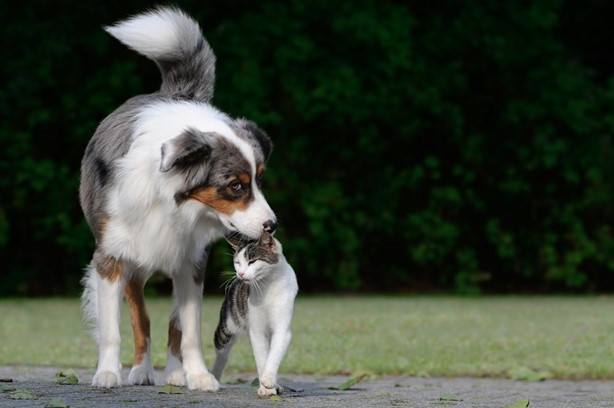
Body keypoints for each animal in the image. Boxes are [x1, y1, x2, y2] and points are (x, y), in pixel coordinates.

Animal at [80, 4, 280, 390]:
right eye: (235, 185)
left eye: (260, 179)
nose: (272, 225)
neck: (172, 204)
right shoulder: (111, 257)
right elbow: (114, 328)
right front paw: (107, 373)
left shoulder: (192, 262)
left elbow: (188, 329)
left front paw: (198, 375)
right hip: (136, 265)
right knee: (140, 318)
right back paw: (141, 370)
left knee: (174, 324)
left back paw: (174, 372)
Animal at [212, 233, 298, 396]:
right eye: (237, 262)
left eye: (252, 261)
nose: (240, 273)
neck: (268, 285)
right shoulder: (257, 330)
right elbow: (262, 358)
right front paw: (265, 389)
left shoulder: (282, 329)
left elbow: (274, 355)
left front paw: (269, 381)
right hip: (226, 328)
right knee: (221, 356)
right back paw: (211, 379)